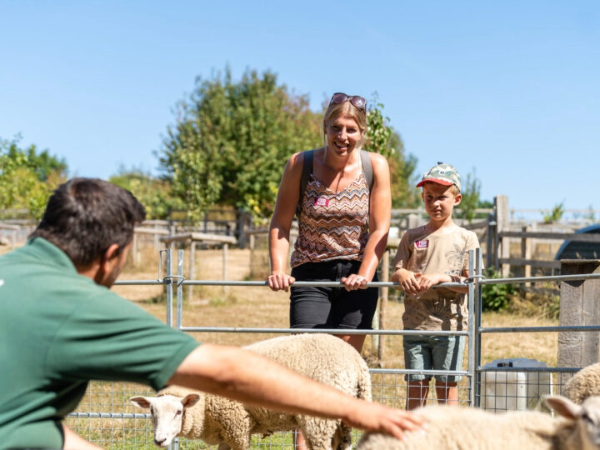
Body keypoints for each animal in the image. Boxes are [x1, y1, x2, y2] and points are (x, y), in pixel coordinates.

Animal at [130, 333, 372, 449]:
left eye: (179, 412)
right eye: (151, 412)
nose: (159, 440)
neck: (206, 404)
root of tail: (357, 362)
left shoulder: (237, 428)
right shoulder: (226, 433)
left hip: (319, 421)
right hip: (343, 419)